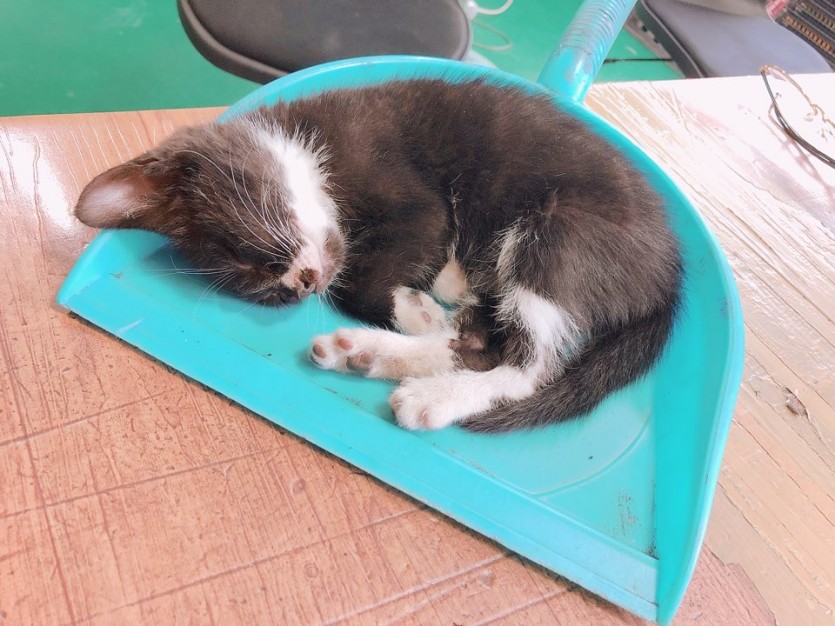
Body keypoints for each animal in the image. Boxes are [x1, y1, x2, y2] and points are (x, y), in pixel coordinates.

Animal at [73, 79, 683, 433]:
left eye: (247, 251)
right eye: (258, 288)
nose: (300, 285)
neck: (312, 144)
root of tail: (670, 275)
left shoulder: (409, 190)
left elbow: (362, 273)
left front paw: (416, 308)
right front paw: (429, 302)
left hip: (560, 232)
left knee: (529, 365)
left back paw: (434, 392)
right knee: (486, 345)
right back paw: (371, 352)